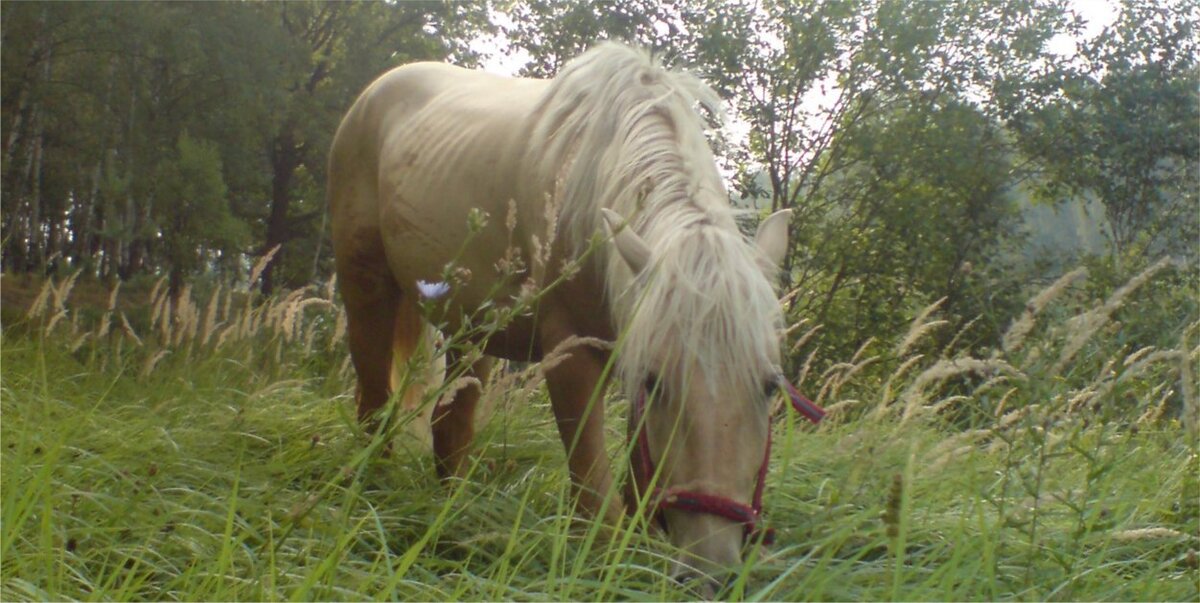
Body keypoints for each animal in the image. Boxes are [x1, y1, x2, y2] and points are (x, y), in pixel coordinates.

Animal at [326, 43, 816, 588]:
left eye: (770, 387)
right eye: (658, 383)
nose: (711, 573)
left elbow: (636, 481)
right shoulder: (574, 356)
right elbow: (594, 495)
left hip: (474, 331)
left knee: (450, 426)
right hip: (367, 292)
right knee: (375, 406)